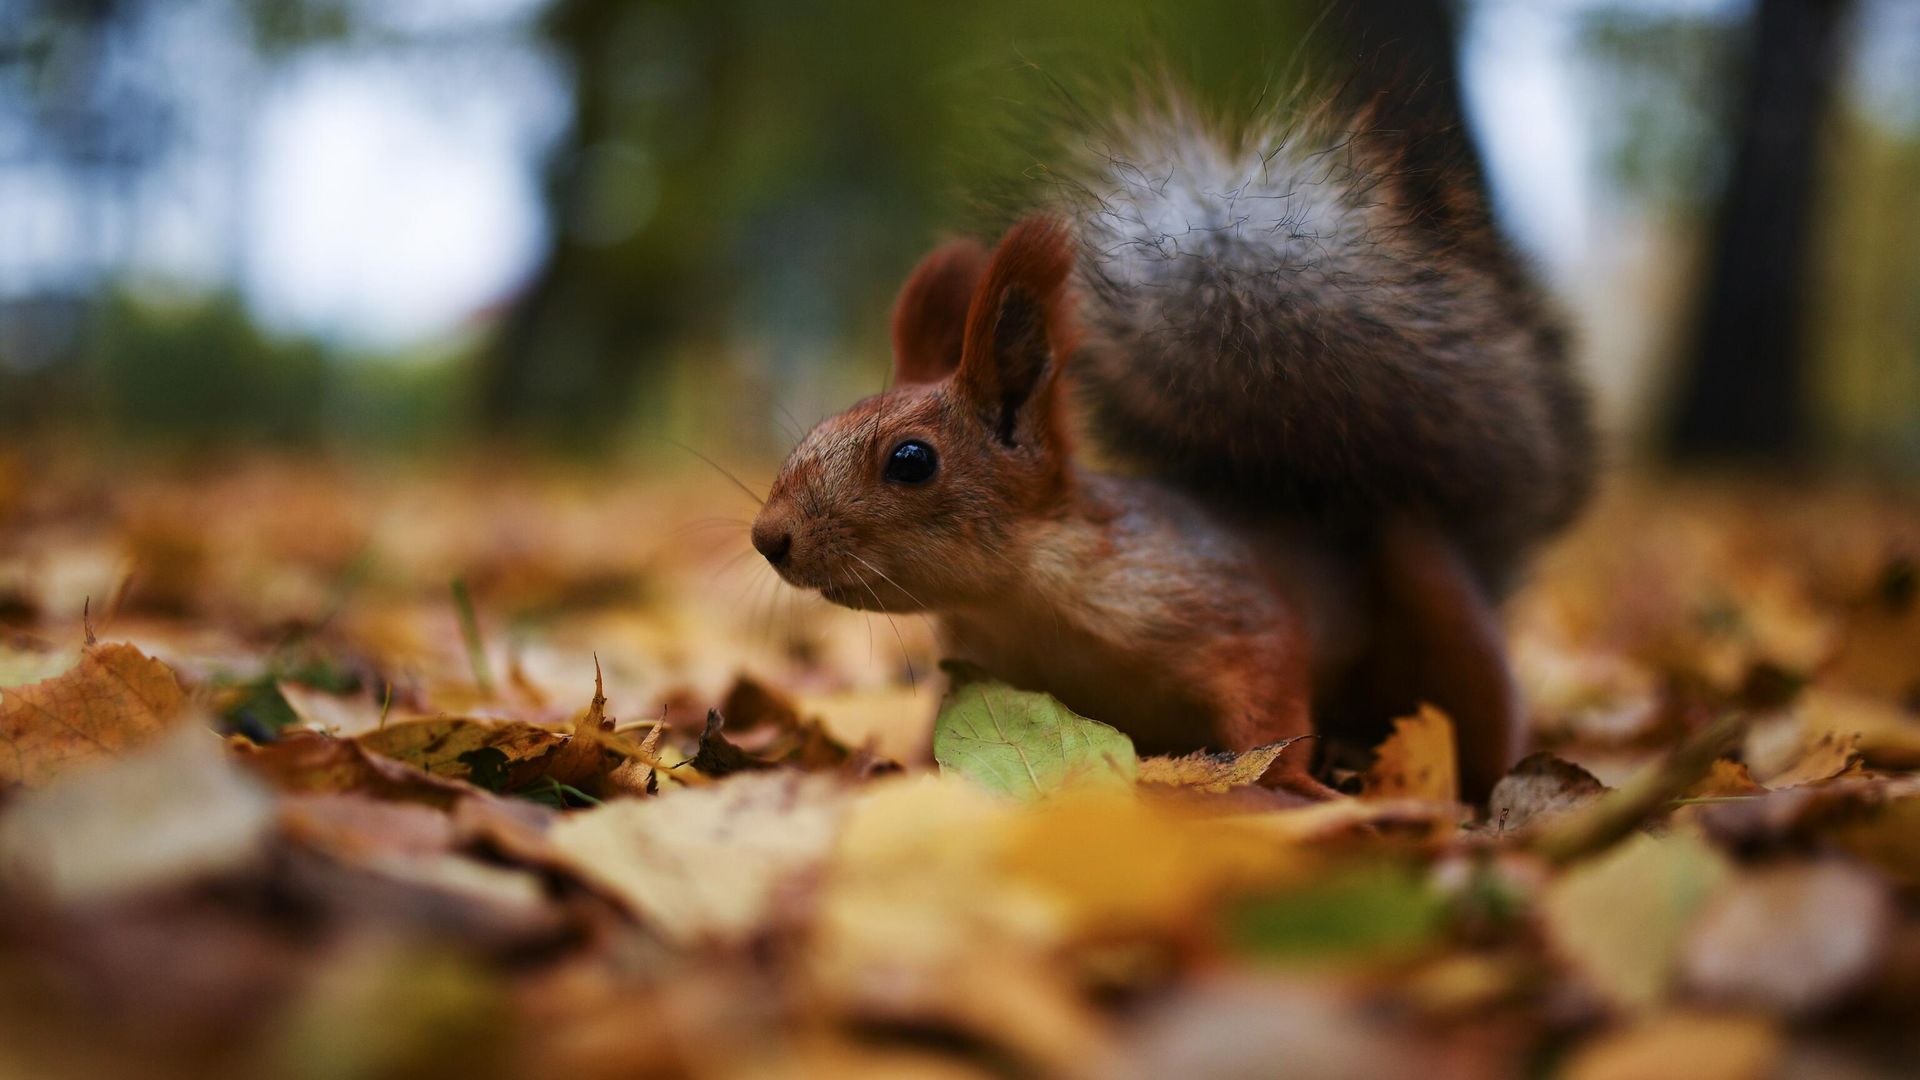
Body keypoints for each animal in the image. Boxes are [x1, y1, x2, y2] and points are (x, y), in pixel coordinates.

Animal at [748, 92, 1594, 802]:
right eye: (824, 423)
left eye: (911, 460)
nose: (768, 538)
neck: (1021, 599)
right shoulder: (976, 675)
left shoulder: (1213, 596)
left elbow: (1271, 691)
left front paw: (1292, 788)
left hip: (1434, 599)